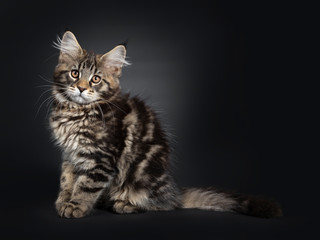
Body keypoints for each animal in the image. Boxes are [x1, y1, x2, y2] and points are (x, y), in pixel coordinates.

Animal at [48, 31, 282, 218]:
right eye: (75, 74)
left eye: (96, 79)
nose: (80, 88)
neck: (76, 112)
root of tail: (174, 192)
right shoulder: (70, 155)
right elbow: (67, 181)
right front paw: (63, 202)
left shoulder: (101, 159)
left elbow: (85, 186)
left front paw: (76, 207)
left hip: (142, 178)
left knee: (163, 206)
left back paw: (125, 204)